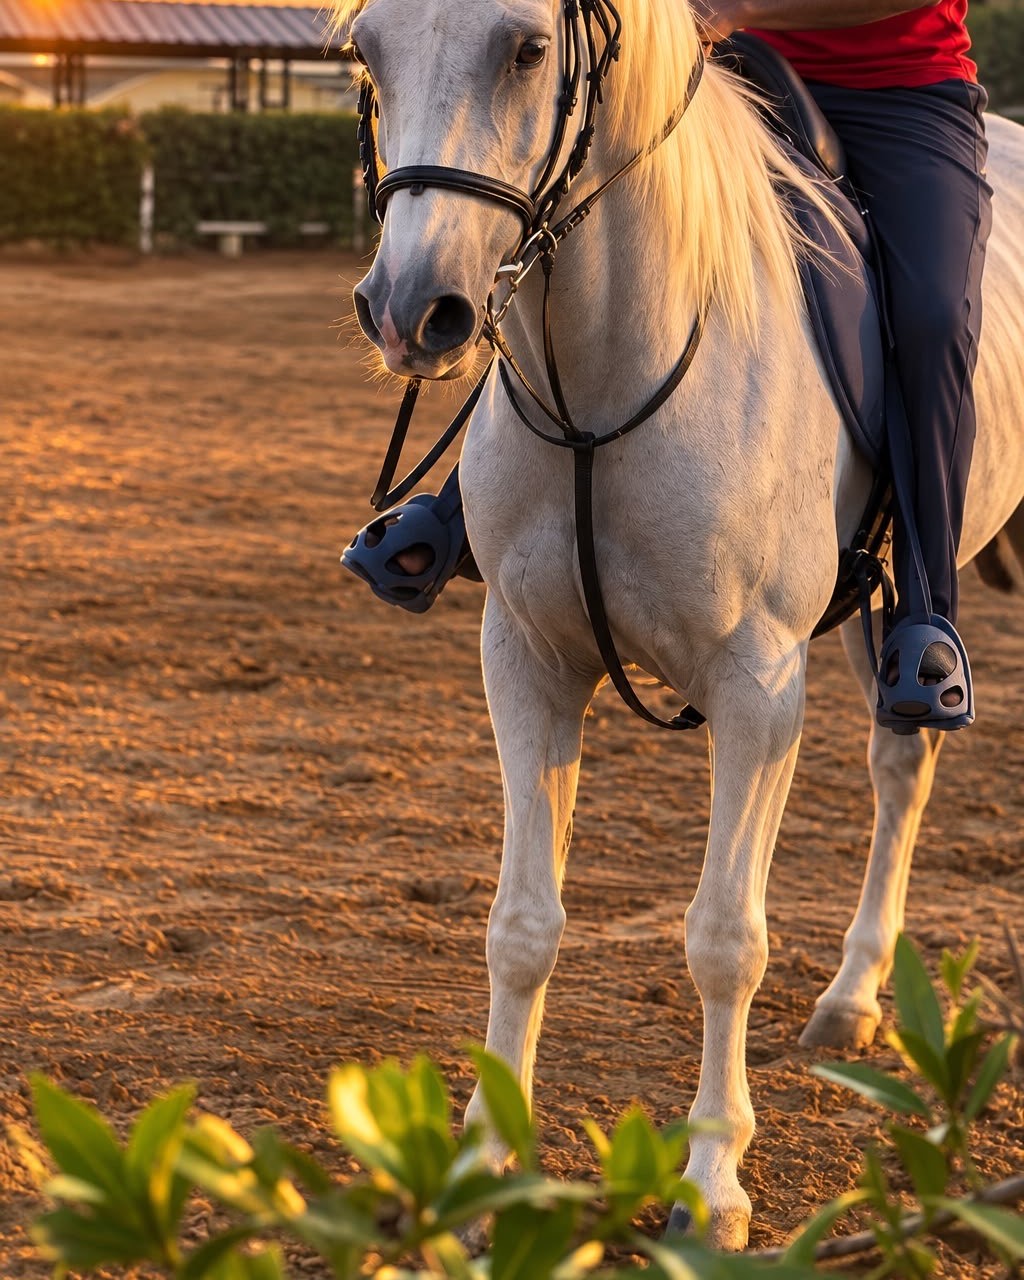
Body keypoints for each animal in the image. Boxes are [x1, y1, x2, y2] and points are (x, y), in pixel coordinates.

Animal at [334, 0, 1024, 1250]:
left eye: (526, 48)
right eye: (367, 50)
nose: (414, 311)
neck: (612, 373)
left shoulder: (756, 686)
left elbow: (723, 940)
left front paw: (710, 1185)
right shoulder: (525, 657)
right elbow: (522, 923)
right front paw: (484, 1159)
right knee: (901, 766)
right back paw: (853, 998)